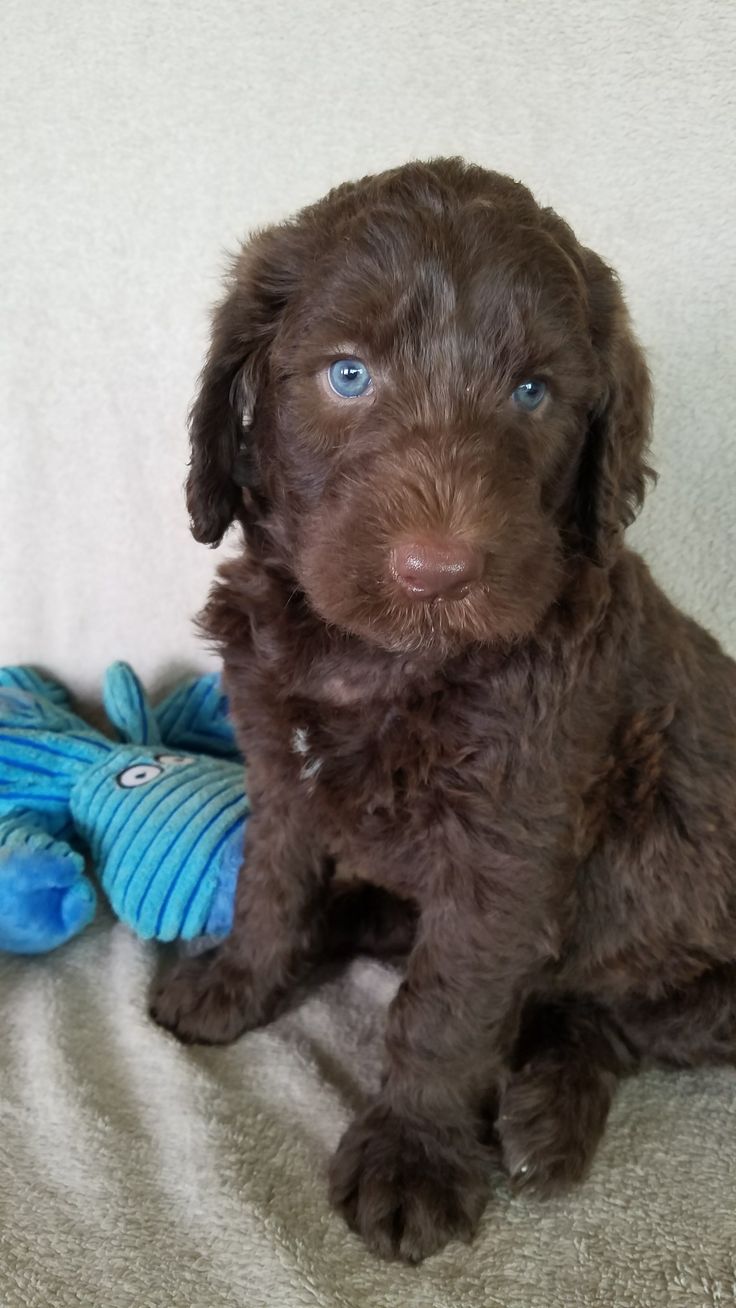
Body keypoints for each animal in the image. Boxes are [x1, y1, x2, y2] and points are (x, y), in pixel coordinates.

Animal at [149, 158, 736, 1260]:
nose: (437, 573)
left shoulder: (508, 837)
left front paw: (412, 1155)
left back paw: (546, 1119)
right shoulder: (281, 770)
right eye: (348, 376)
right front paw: (239, 981)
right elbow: (268, 884)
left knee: (605, 1019)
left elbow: (446, 1005)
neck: (378, 659)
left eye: (532, 392)